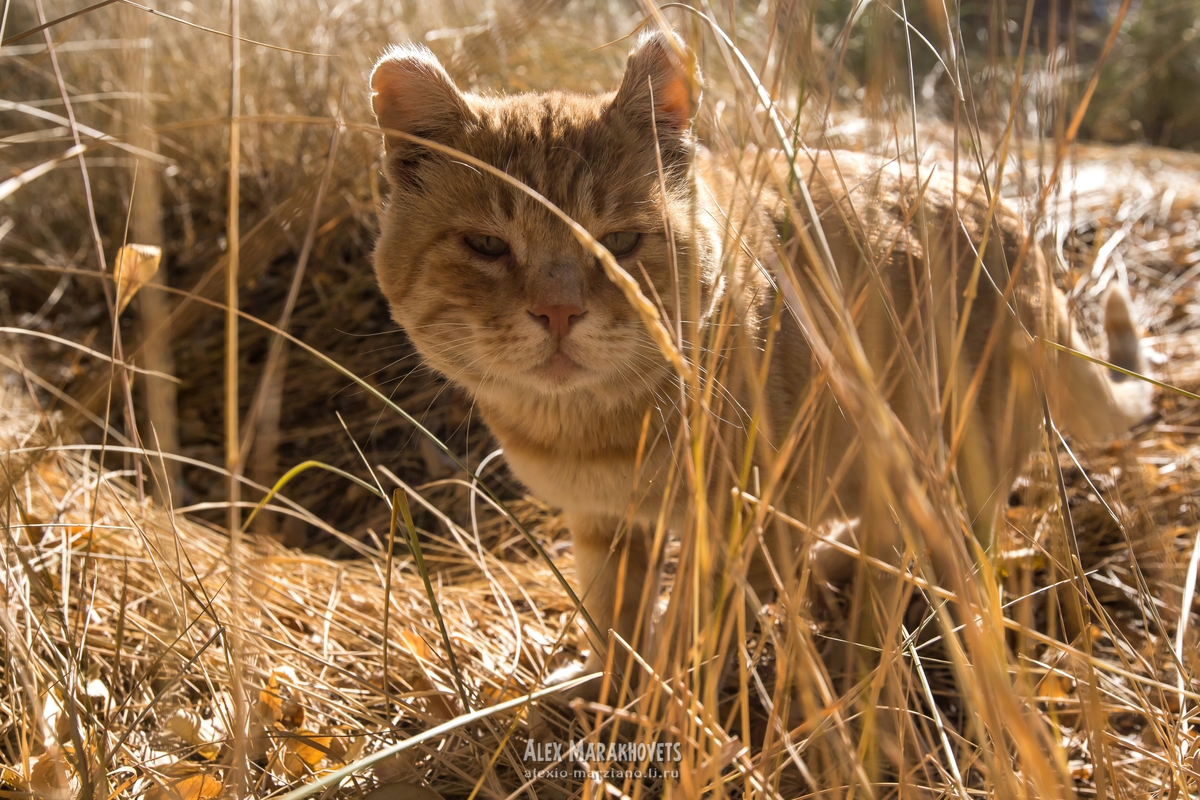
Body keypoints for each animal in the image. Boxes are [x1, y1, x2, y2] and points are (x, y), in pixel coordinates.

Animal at [367, 29, 1152, 695]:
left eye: (620, 242)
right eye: (487, 246)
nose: (558, 312)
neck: (588, 431)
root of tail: (1024, 232)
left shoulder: (738, 526)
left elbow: (688, 634)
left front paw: (663, 701)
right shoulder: (605, 526)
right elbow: (613, 622)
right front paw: (606, 690)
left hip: (951, 458)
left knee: (942, 549)